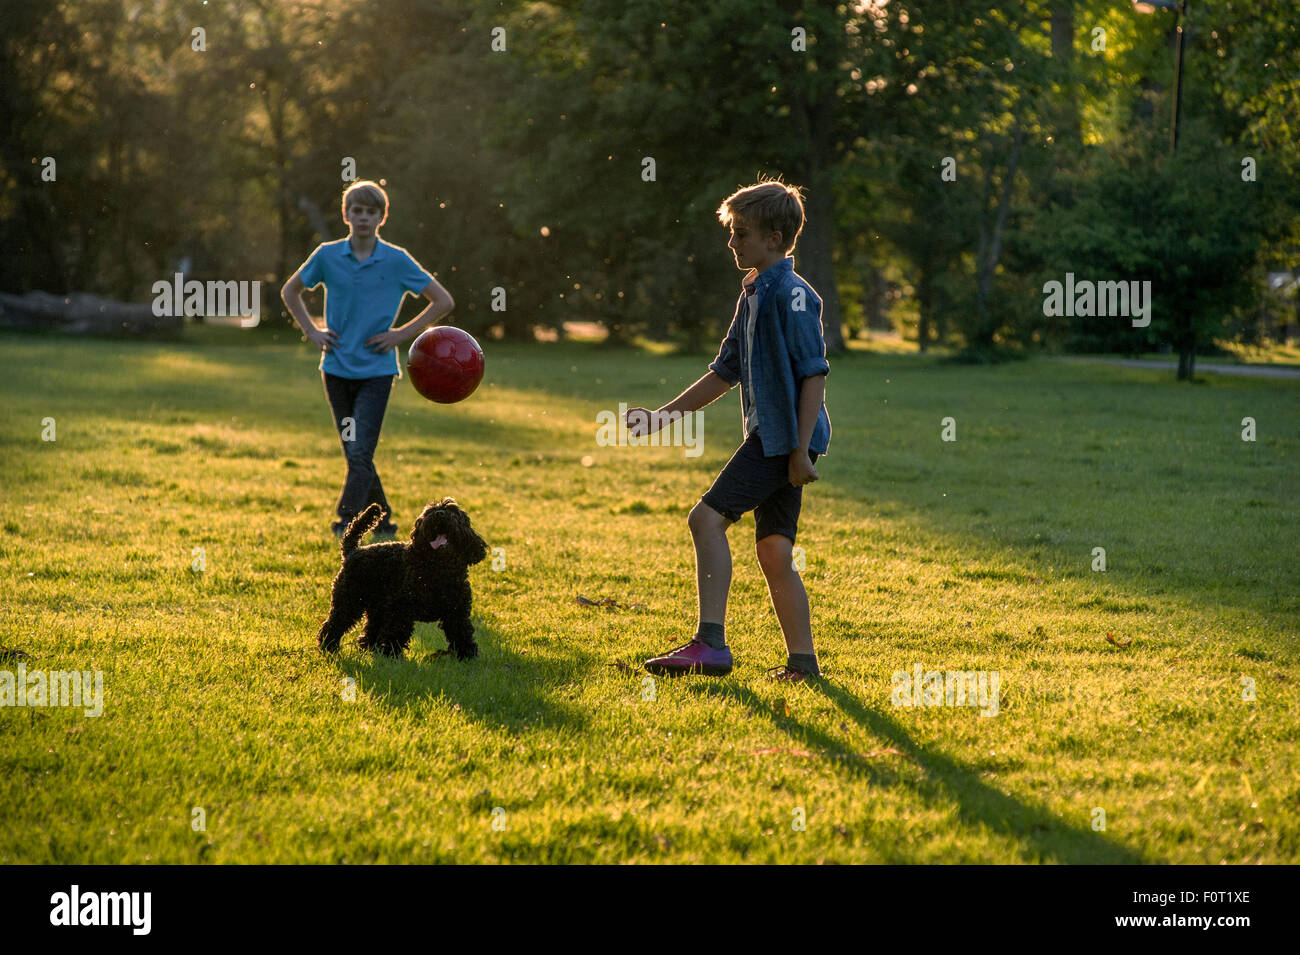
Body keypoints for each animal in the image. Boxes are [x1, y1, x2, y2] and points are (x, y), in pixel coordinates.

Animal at [317, 501, 488, 657]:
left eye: (453, 511)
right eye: (430, 511)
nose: (440, 514)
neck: (438, 569)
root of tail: (352, 551)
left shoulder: (457, 612)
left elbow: (462, 632)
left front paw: (467, 655)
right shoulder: (401, 609)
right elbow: (396, 631)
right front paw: (391, 654)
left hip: (376, 606)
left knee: (370, 629)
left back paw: (370, 648)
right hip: (349, 601)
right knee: (334, 624)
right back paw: (328, 647)